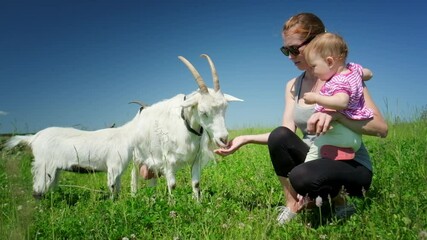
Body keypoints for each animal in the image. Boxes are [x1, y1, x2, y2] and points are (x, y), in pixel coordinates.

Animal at [132, 54, 242, 201]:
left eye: (225, 108)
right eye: (203, 112)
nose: (223, 139)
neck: (185, 125)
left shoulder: (196, 159)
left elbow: (196, 184)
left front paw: (197, 203)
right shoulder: (168, 161)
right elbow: (172, 185)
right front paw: (173, 205)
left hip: (152, 162)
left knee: (152, 182)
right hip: (135, 157)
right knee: (134, 178)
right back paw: (133, 197)